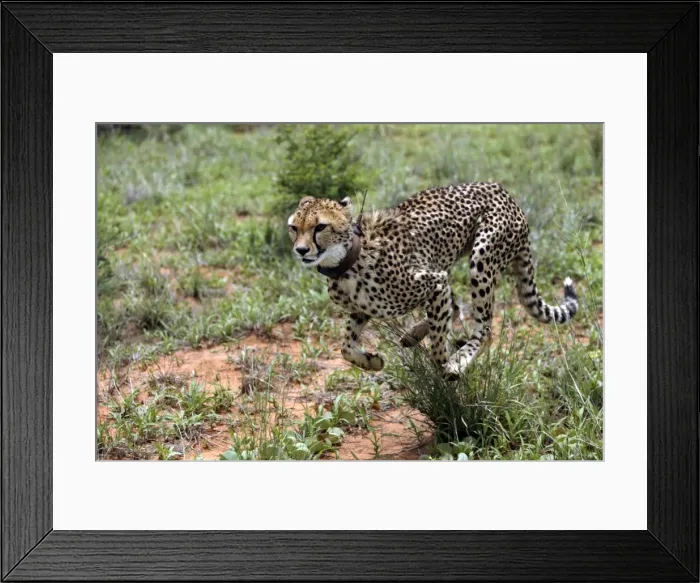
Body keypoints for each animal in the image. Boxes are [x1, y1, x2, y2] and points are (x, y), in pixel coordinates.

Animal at [287, 182, 578, 377]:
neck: (346, 261)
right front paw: (372, 362)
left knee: (484, 327)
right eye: (293, 228)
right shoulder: (363, 309)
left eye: (320, 227)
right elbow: (346, 347)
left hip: (481, 257)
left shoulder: (434, 281)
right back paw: (413, 335)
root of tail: (503, 191)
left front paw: (448, 362)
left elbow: (439, 341)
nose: (300, 250)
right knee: (457, 307)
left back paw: (459, 357)